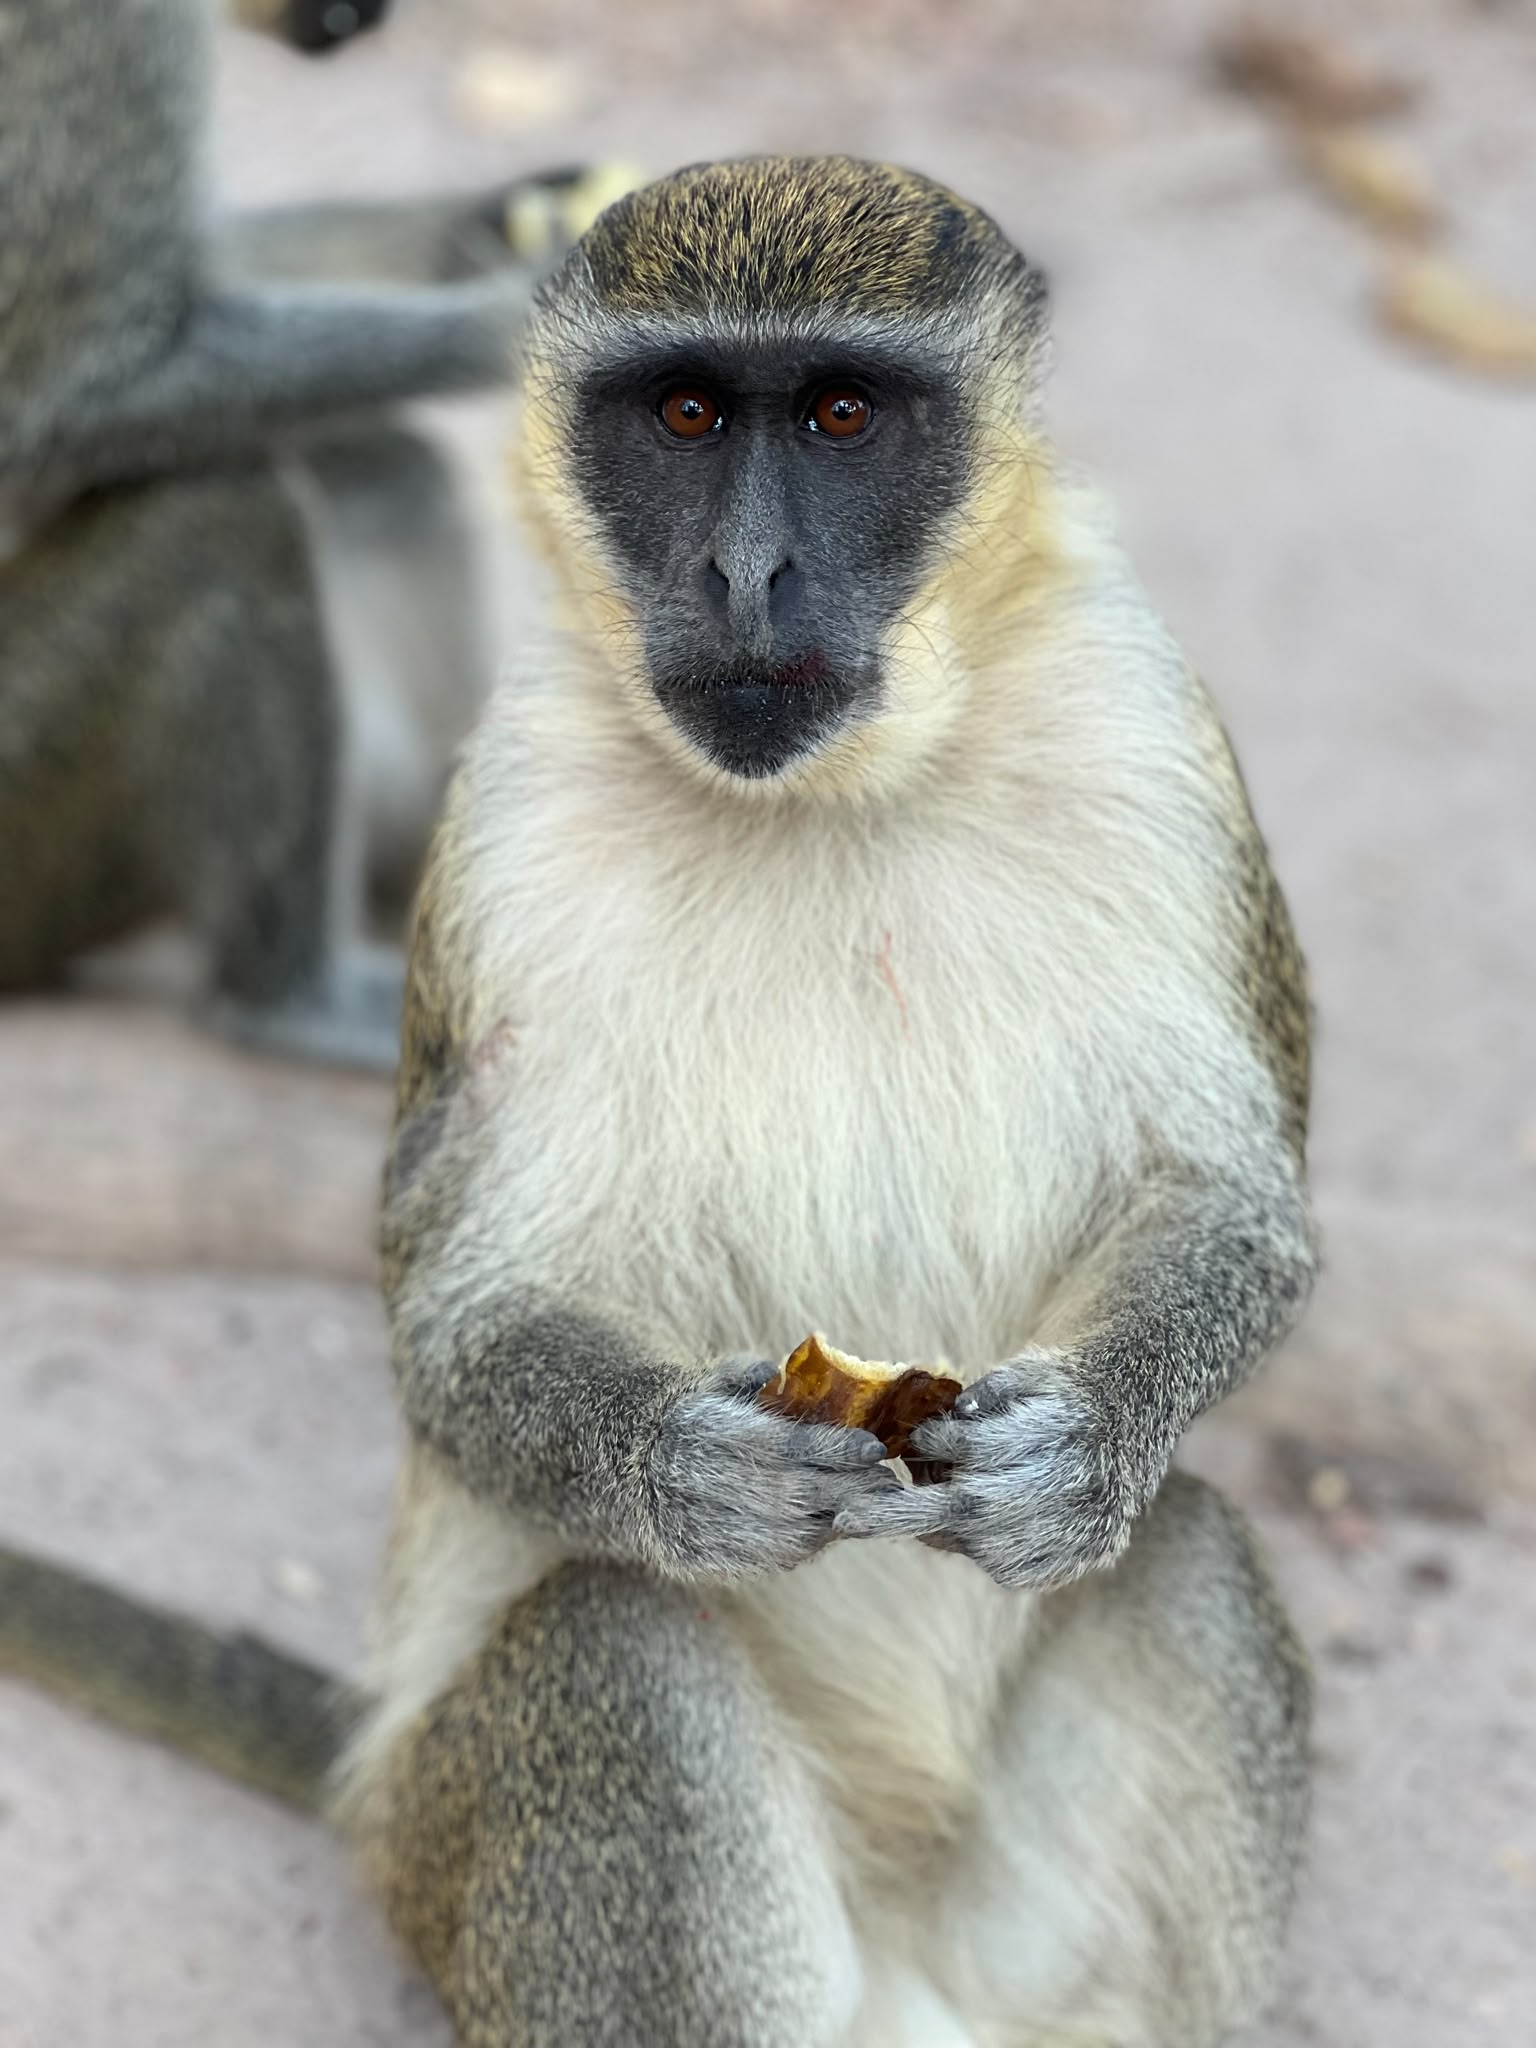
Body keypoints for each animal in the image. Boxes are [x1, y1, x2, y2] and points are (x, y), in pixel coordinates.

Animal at [0, 156, 1318, 2042]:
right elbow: (464, 1318)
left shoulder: (1153, 732)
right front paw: (686, 1471)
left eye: (842, 414)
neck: (836, 795)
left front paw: (1085, 1446)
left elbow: (1231, 1201)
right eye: (684, 414)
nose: (749, 569)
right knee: (612, 1653)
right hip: (450, 1843)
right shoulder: (505, 820)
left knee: (1188, 1559)